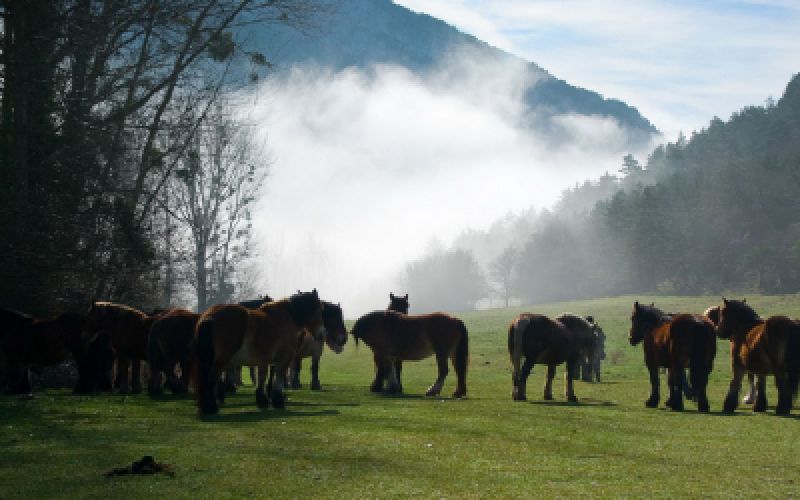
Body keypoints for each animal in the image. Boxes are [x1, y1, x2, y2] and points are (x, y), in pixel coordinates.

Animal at [194, 290, 324, 414]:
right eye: (320, 310)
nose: (322, 335)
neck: (286, 317)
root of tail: (211, 315)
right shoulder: (283, 359)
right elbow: (278, 377)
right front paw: (278, 401)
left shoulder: (263, 361)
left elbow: (262, 377)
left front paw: (262, 400)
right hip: (221, 360)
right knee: (211, 380)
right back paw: (211, 407)